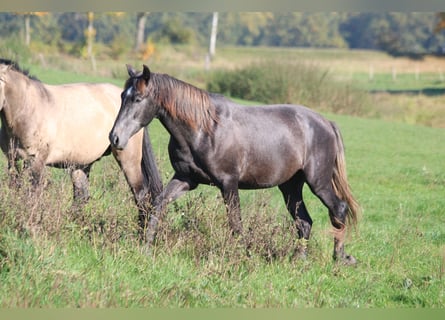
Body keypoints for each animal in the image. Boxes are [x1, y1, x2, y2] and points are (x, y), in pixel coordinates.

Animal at [0, 58, 161, 226]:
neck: (28, 109)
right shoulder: (13, 160)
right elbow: (16, 189)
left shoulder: (36, 161)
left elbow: (31, 194)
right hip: (81, 165)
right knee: (81, 197)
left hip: (128, 161)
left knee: (140, 194)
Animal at [109, 65, 360, 264]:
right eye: (122, 96)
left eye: (138, 99)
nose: (115, 138)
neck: (204, 128)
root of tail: (326, 123)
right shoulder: (185, 179)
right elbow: (158, 204)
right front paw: (146, 247)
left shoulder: (228, 183)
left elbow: (235, 223)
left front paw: (242, 256)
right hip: (290, 187)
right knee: (304, 222)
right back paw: (299, 260)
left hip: (318, 182)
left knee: (338, 209)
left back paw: (340, 258)